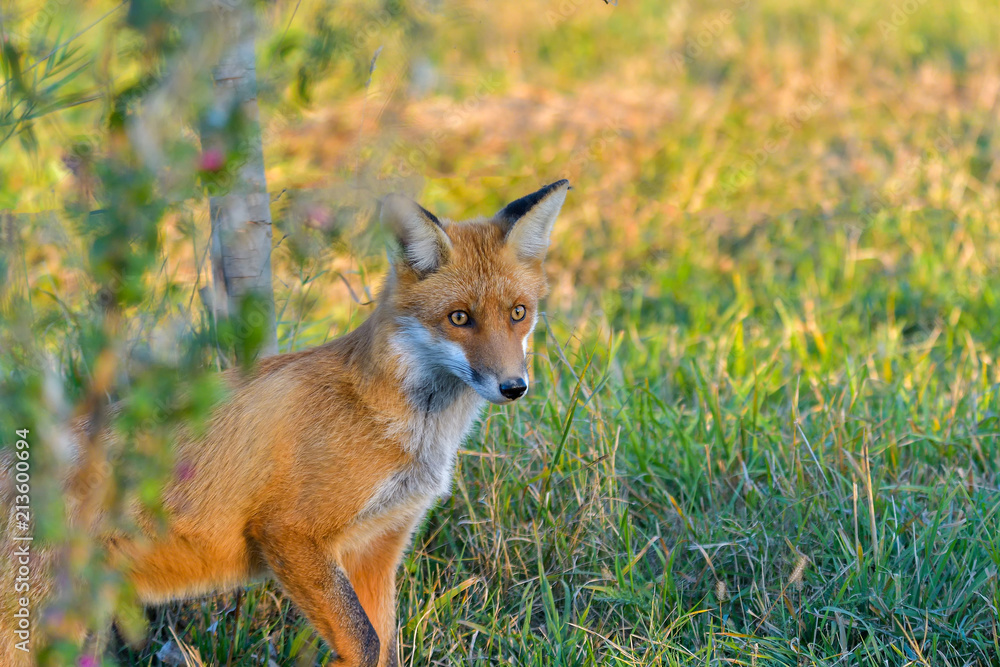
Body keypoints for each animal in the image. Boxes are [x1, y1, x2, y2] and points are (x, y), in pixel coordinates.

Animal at [0, 180, 571, 666]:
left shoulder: (377, 549)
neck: (399, 427)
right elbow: (364, 643)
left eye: (518, 313)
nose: (514, 386)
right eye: (459, 319)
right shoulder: (289, 534)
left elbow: (385, 648)